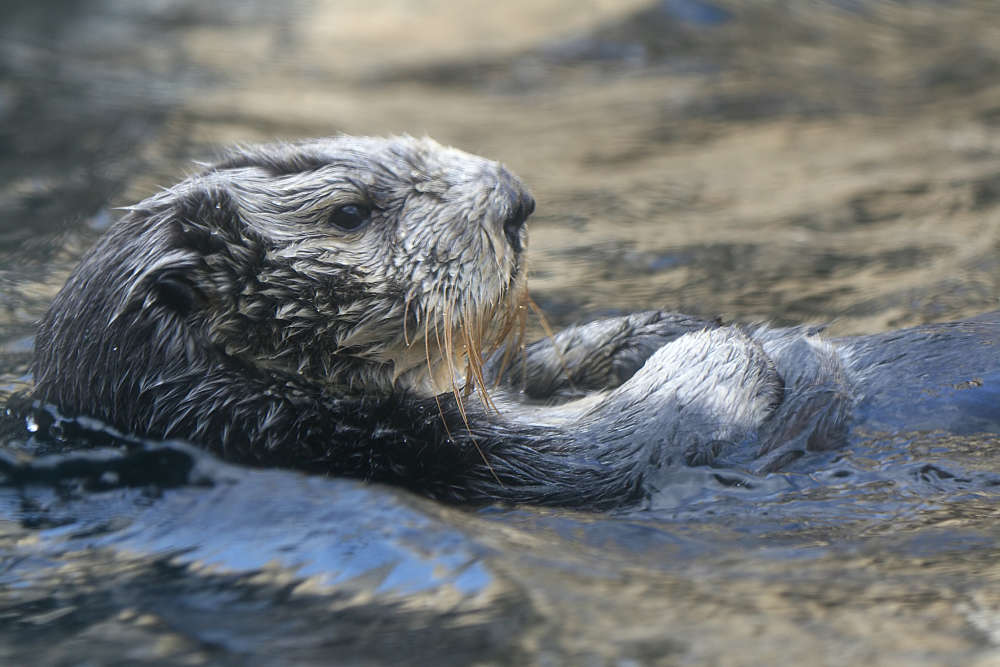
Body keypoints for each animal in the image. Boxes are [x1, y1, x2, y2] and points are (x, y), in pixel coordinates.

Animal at [27, 137, 1000, 512]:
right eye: (349, 212)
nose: (516, 198)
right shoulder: (442, 458)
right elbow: (627, 441)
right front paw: (742, 349)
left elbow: (534, 367)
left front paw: (655, 328)